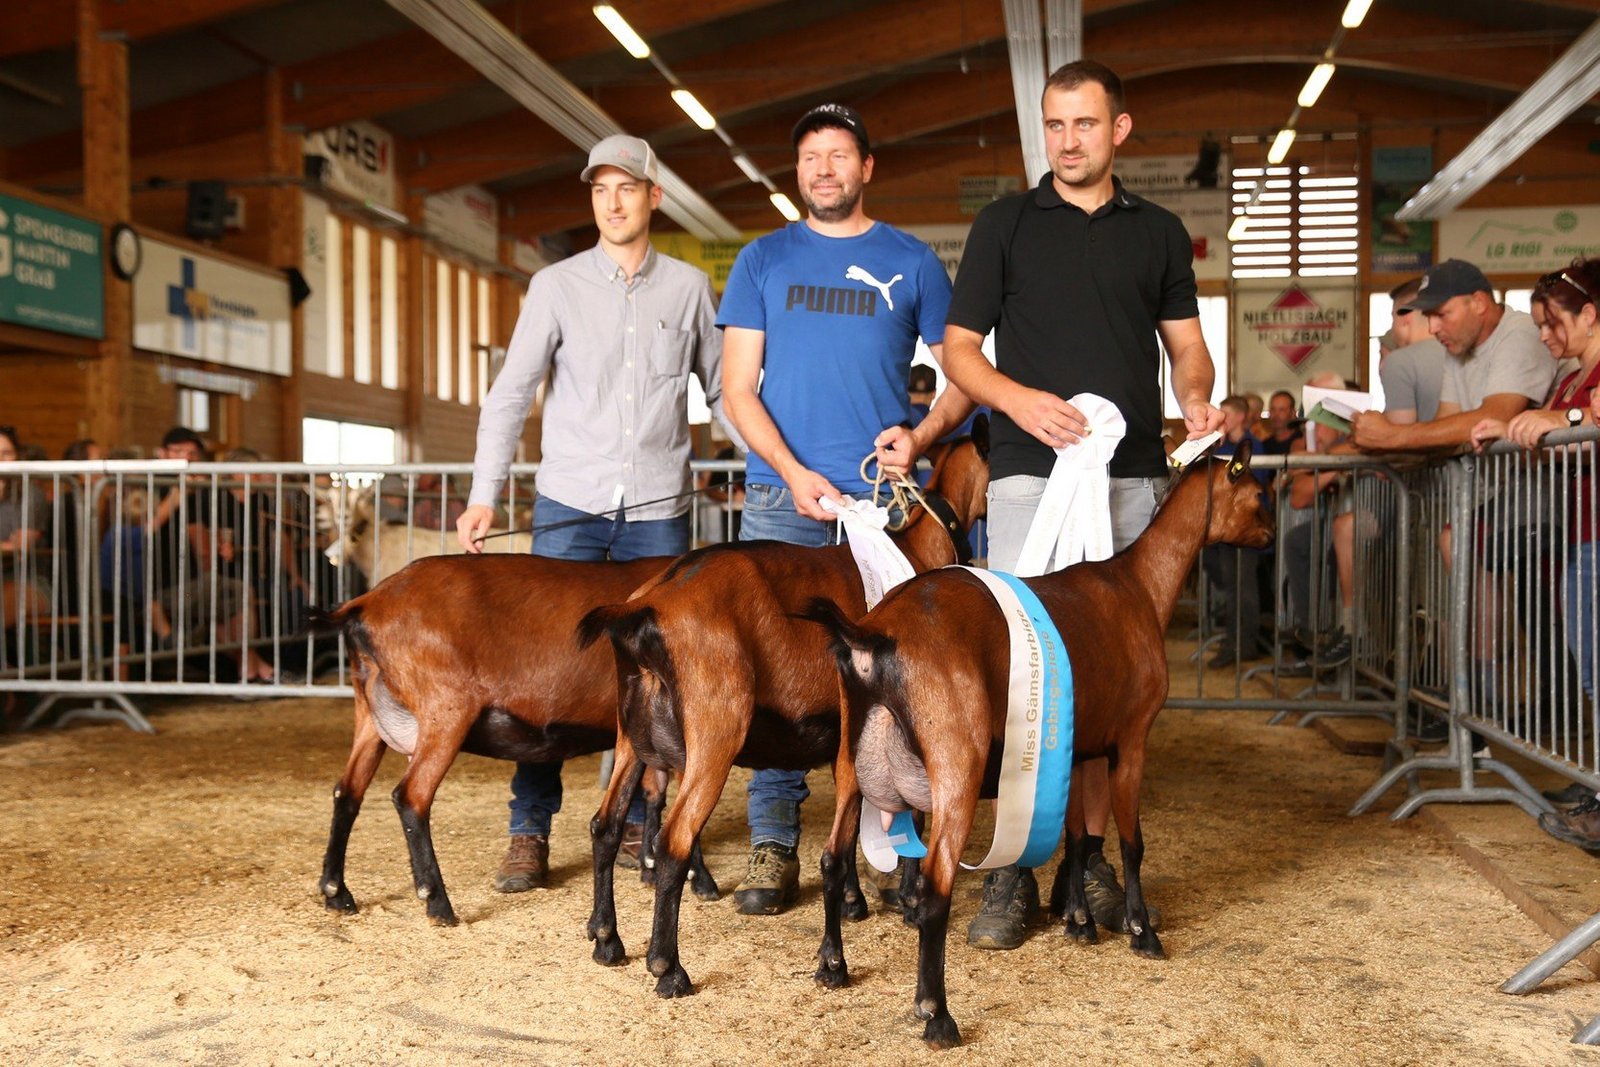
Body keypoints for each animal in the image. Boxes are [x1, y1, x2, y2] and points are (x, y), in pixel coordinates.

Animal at [310, 552, 717, 927]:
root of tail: (368, 602)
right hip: (444, 711)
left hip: (369, 713)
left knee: (347, 791)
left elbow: (653, 793)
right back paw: (437, 903)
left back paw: (336, 892)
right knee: (410, 797)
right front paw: (700, 880)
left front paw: (649, 868)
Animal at [576, 424, 990, 997]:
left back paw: (606, 939)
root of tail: (647, 606)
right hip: (715, 732)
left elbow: (853, 828)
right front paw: (903, 902)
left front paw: (857, 900)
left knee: (606, 825)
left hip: (632, 736)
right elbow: (909, 818)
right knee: (673, 840)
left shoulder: (849, 738)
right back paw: (668, 968)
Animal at [805, 445, 1273, 1048]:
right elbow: (1132, 842)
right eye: (1258, 493)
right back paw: (937, 1014)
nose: (1269, 534)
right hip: (957, 767)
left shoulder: (1072, 748)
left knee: (833, 860)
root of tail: (874, 635)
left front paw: (1078, 920)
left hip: (849, 762)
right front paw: (1142, 931)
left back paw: (832, 966)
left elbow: (1076, 836)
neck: (1138, 586)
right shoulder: (1132, 740)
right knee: (934, 889)